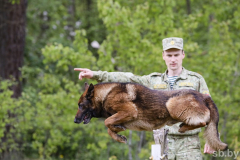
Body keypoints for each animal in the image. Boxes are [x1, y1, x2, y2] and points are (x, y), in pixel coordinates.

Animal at [74, 82, 228, 151]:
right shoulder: (124, 117)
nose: (75, 120)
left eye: (81, 105)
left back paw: (183, 127)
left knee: (203, 122)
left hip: (171, 103)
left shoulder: (130, 111)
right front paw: (118, 135)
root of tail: (204, 96)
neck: (106, 94)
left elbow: (107, 122)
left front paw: (116, 130)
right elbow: (109, 127)